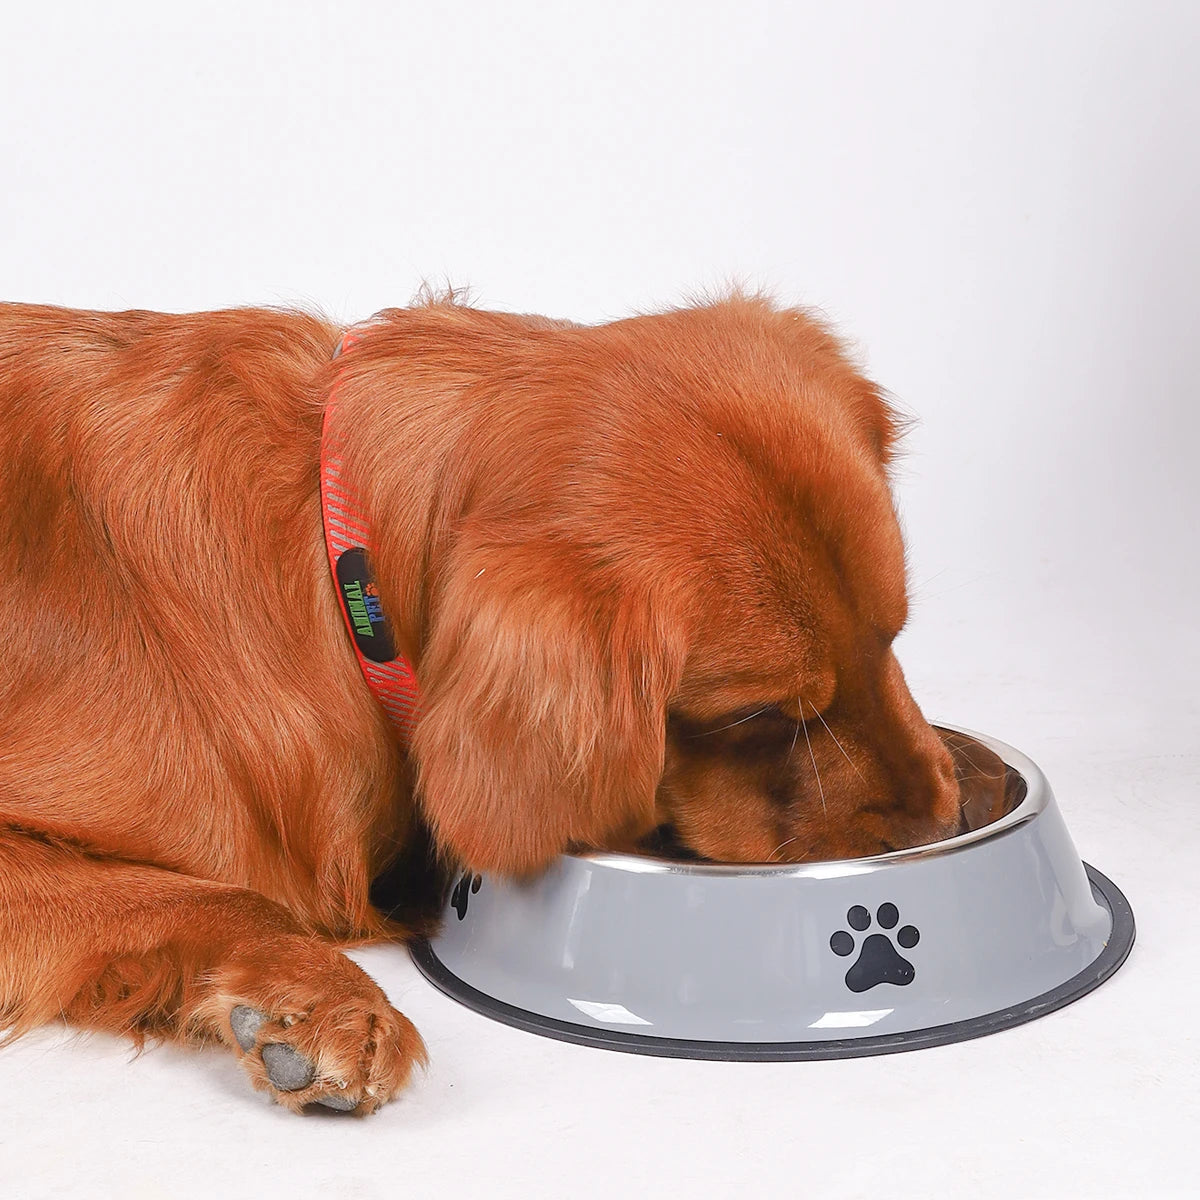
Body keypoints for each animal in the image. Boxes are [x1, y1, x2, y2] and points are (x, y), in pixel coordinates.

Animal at [0, 295, 974, 1108]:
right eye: (762, 716)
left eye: (891, 636)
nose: (941, 824)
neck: (332, 569)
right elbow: (229, 897)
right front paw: (322, 1000)